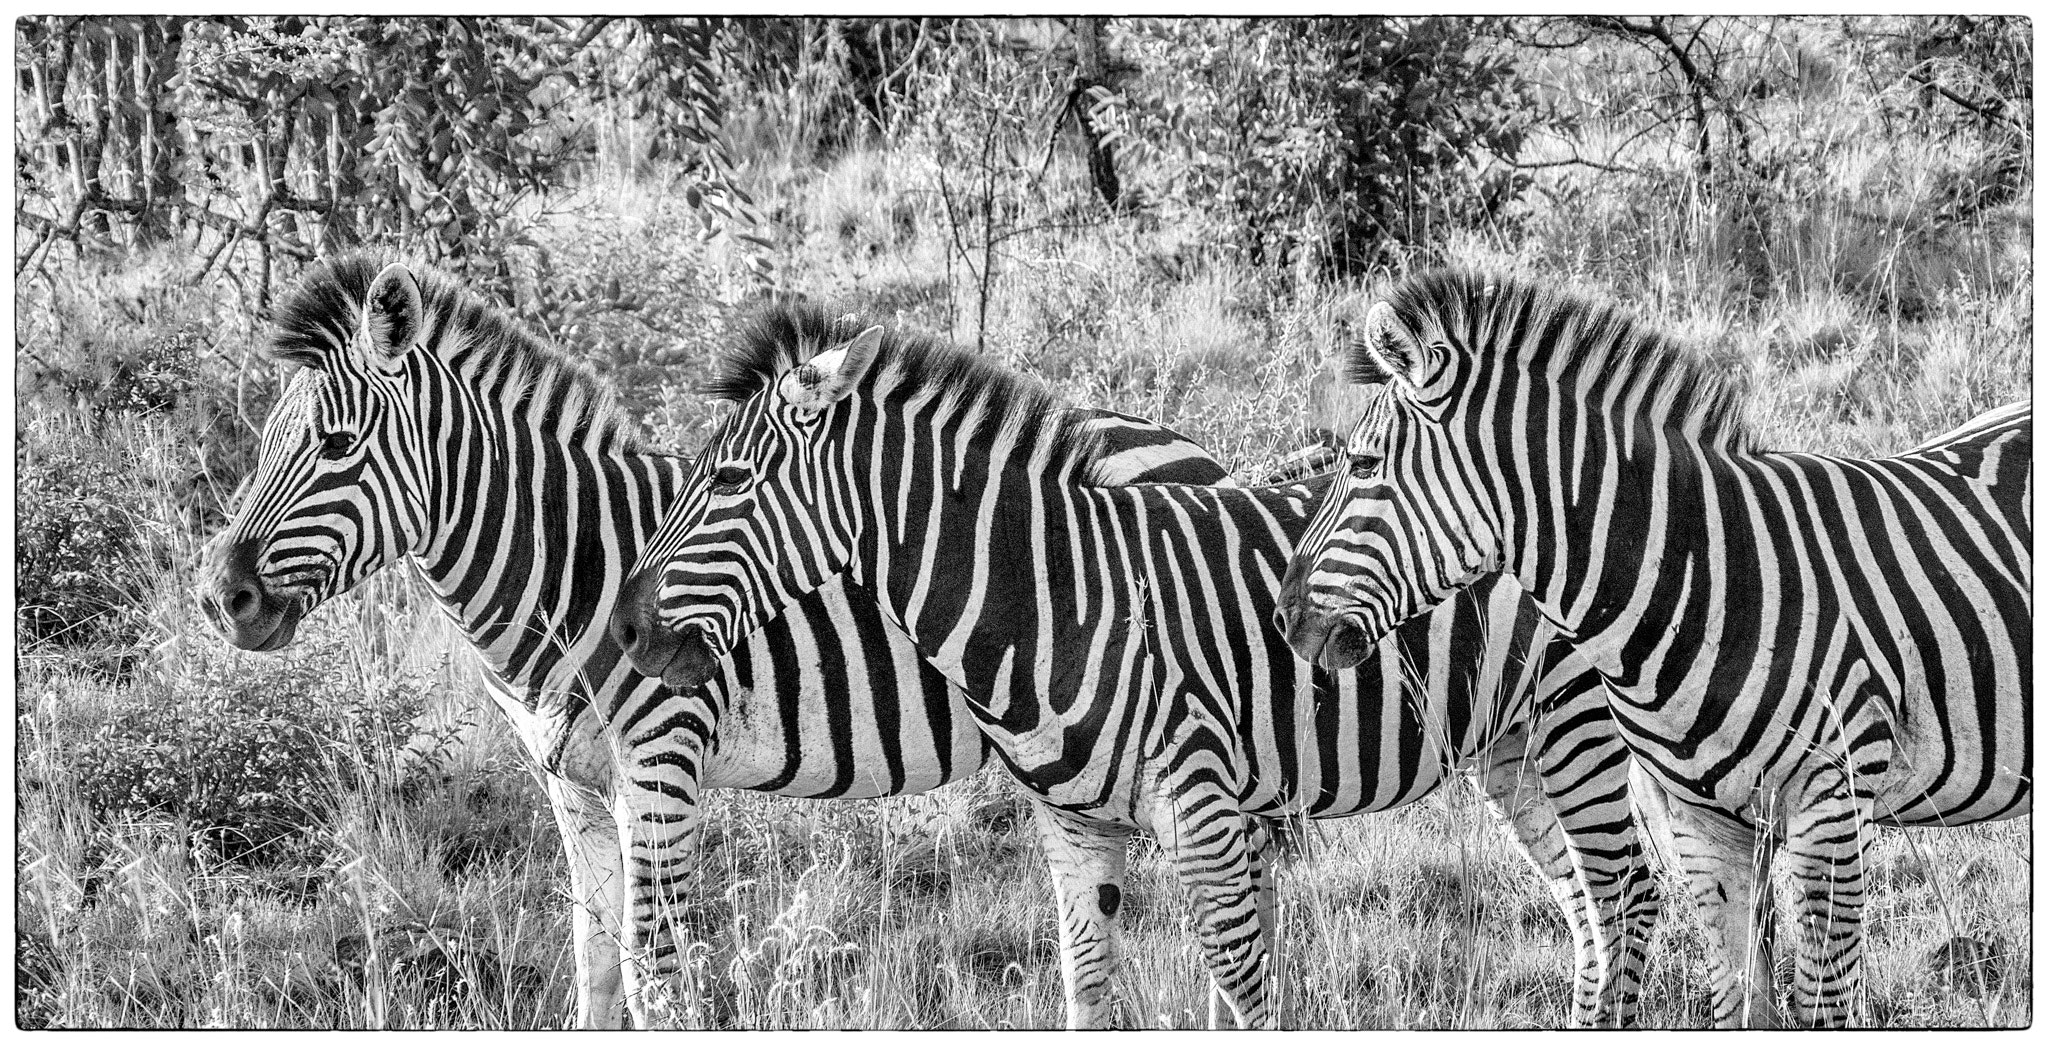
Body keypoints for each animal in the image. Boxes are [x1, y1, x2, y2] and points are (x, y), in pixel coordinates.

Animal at [193, 254, 1233, 1028]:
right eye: (268, 437)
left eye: (335, 445)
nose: (218, 597)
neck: (571, 572)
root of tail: (1192, 451)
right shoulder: (570, 785)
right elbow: (593, 969)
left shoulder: (662, 763)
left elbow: (654, 978)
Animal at [607, 304, 1664, 1028]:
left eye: (729, 481)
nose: (624, 632)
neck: (1061, 603)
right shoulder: (1072, 826)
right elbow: (1086, 988)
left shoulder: (1203, 811)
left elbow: (1245, 992)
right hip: (1509, 741)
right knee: (1588, 908)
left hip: (1575, 721)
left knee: (1629, 894)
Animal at [1275, 268, 2030, 1027]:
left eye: (1363, 465)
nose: (1285, 620)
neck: (1709, 580)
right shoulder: (1701, 826)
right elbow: (1743, 1004)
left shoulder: (1834, 808)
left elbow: (1822, 1006)